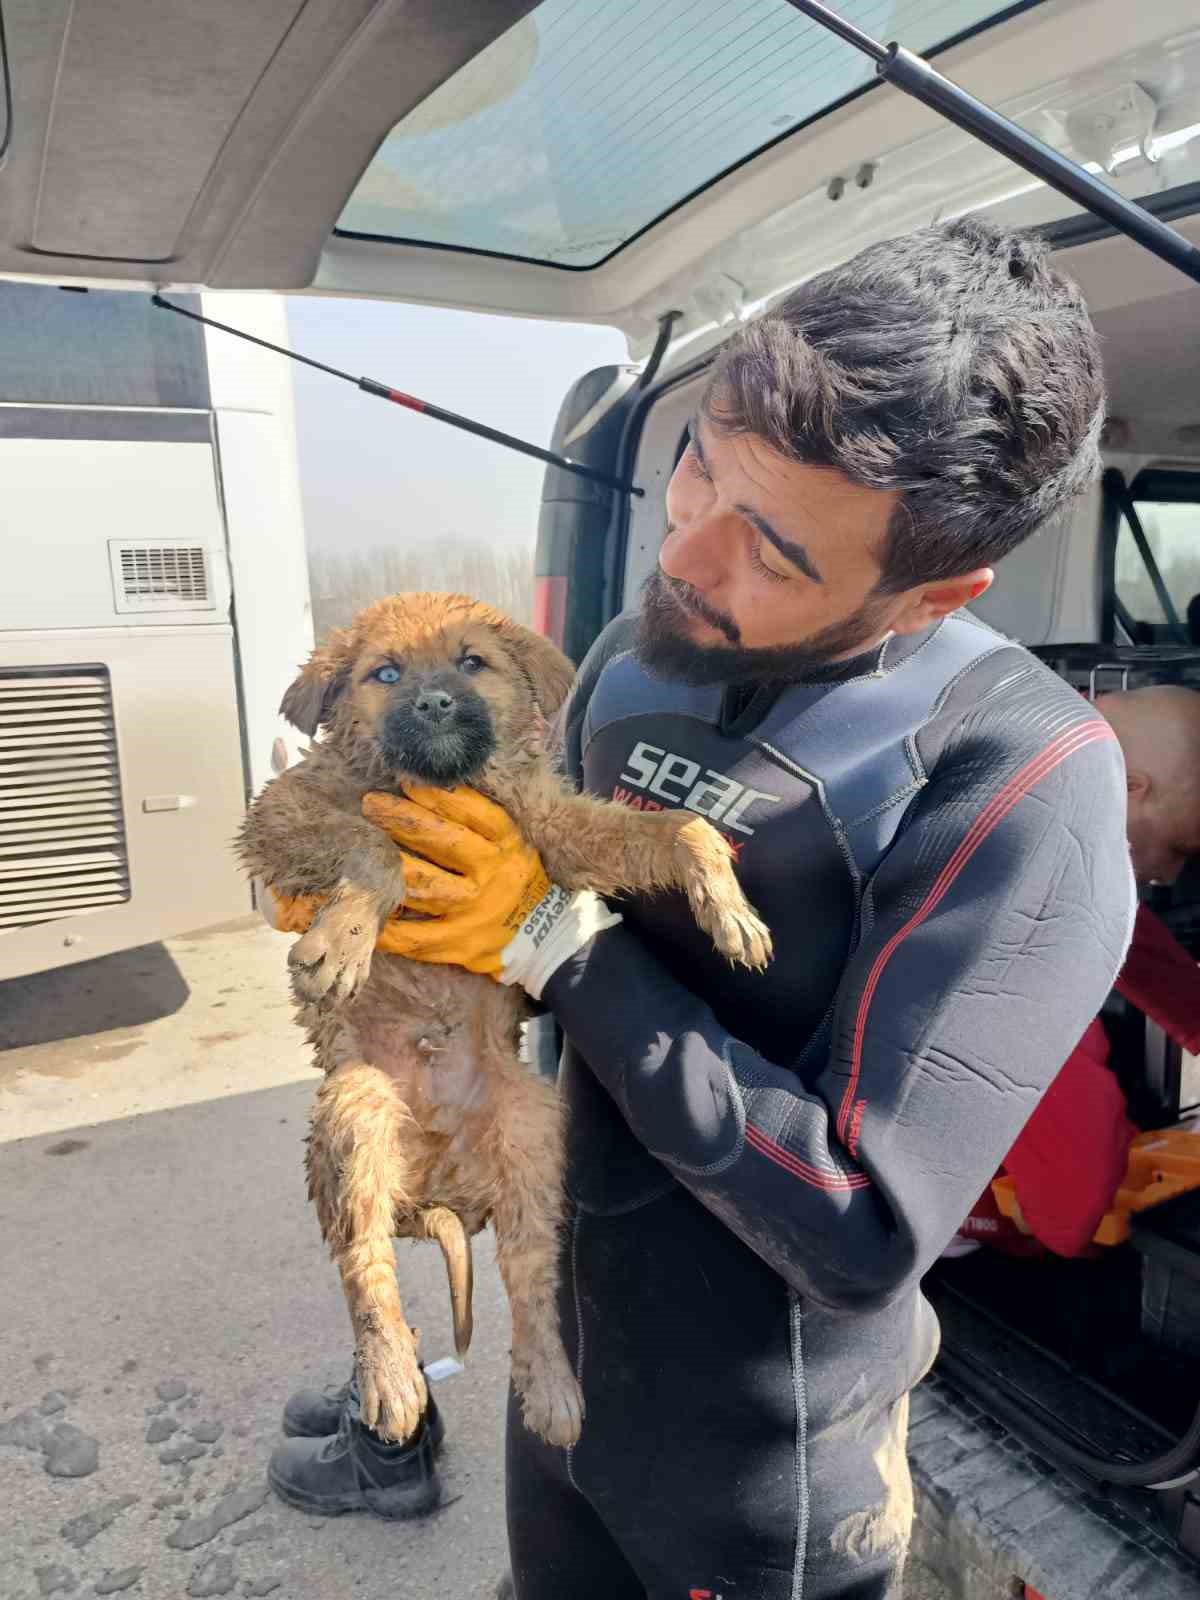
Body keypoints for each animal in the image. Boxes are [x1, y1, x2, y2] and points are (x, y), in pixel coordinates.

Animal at [240, 598, 774, 1452]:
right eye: (384, 672)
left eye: (471, 663)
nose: (433, 704)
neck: (442, 783)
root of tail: (434, 1184)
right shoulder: (283, 809)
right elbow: (372, 841)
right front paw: (345, 938)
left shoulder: (555, 828)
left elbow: (681, 828)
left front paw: (729, 910)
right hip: (357, 1105)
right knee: (365, 1261)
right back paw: (390, 1377)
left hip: (529, 1126)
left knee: (529, 1278)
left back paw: (552, 1388)